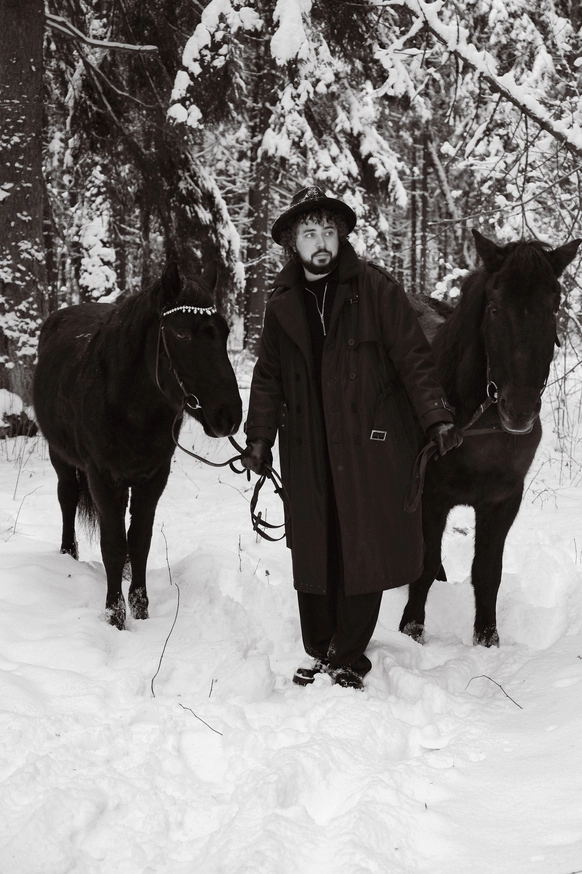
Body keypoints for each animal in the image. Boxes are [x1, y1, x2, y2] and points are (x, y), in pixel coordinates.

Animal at [33, 262, 242, 630]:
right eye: (181, 334)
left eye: (225, 332)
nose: (228, 415)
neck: (128, 405)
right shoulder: (102, 477)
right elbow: (114, 545)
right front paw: (115, 617)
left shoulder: (153, 477)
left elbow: (140, 540)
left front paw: (140, 609)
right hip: (62, 458)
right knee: (67, 499)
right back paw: (68, 556)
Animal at [400, 229, 581, 647]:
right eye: (495, 308)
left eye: (553, 306)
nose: (519, 410)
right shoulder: (431, 495)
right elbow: (425, 564)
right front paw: (411, 630)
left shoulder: (502, 500)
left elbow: (487, 570)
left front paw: (487, 638)